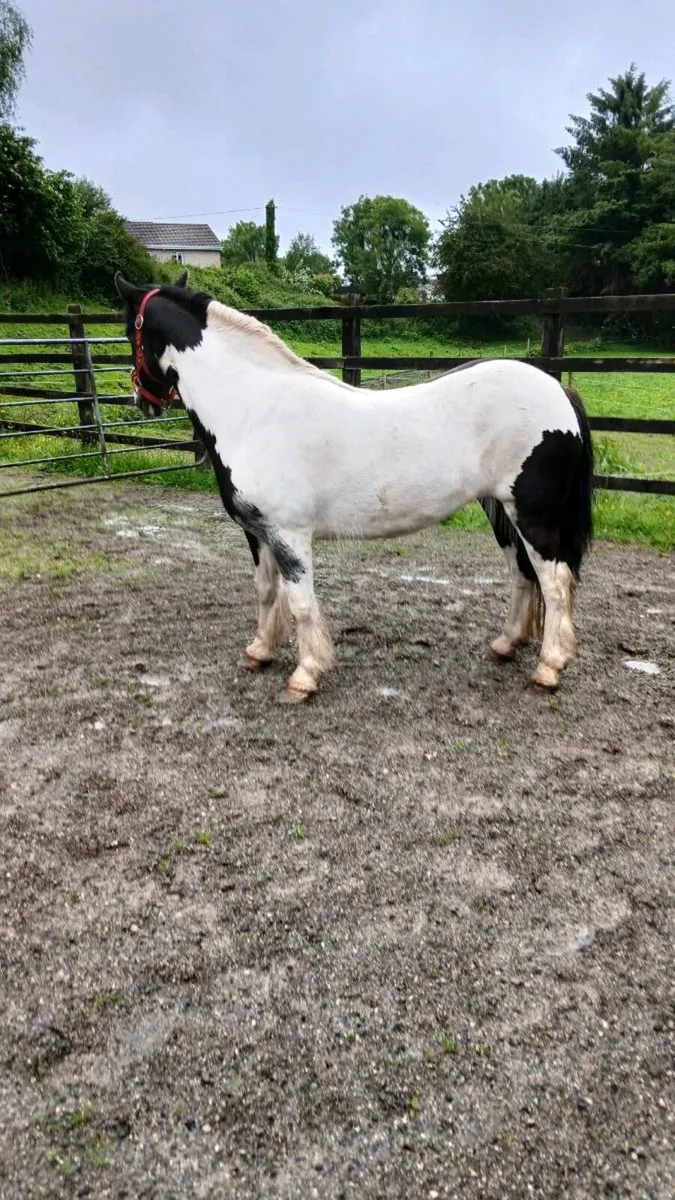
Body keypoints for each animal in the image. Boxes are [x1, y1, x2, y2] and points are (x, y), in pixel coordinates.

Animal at [115, 271, 594, 702]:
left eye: (128, 334)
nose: (141, 401)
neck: (253, 411)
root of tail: (557, 390)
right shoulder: (259, 532)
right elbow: (267, 591)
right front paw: (260, 651)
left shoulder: (290, 534)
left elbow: (301, 601)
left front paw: (305, 676)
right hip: (501, 511)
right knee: (522, 576)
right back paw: (506, 645)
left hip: (532, 515)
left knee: (555, 583)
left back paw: (549, 668)